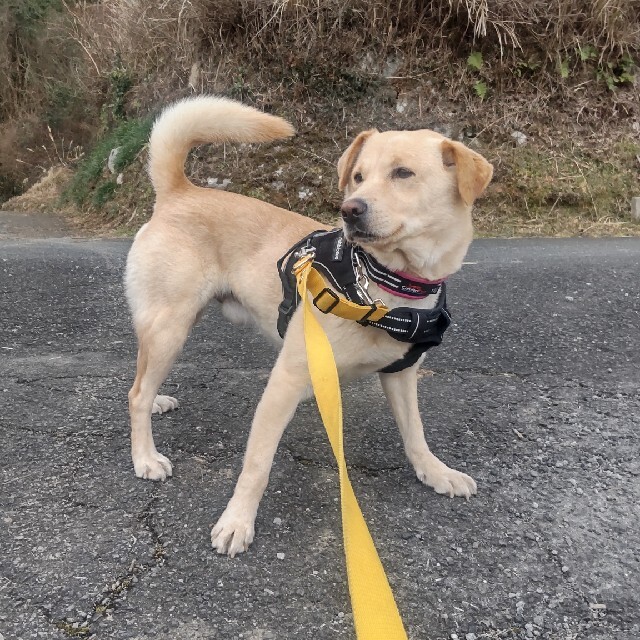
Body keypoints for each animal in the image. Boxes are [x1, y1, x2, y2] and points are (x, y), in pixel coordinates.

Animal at [126, 95, 496, 556]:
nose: (349, 209)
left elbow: (415, 433)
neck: (381, 284)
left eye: (403, 173)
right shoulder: (286, 380)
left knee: (143, 379)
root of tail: (179, 191)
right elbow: (257, 465)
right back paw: (145, 455)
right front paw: (237, 521)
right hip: (170, 326)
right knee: (136, 393)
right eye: (358, 177)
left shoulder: (401, 374)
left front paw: (435, 471)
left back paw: (158, 401)